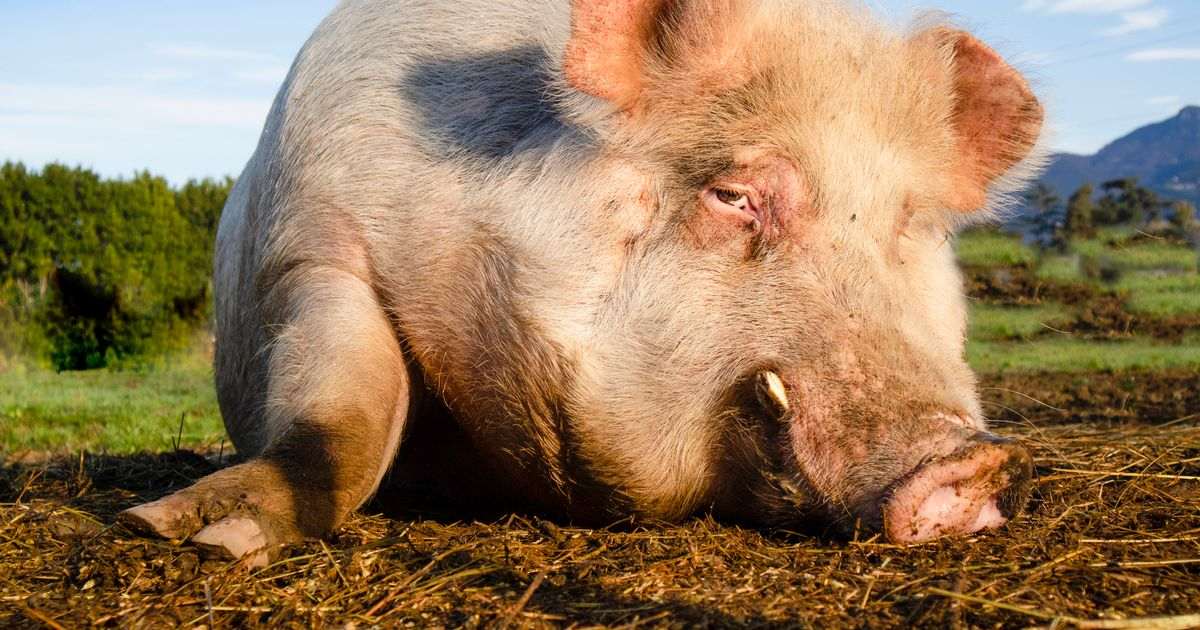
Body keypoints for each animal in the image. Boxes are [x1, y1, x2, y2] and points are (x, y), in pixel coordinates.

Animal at [120, 0, 1044, 566]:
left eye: (909, 222)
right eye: (734, 195)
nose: (971, 460)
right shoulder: (315, 246)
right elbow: (339, 417)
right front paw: (187, 535)